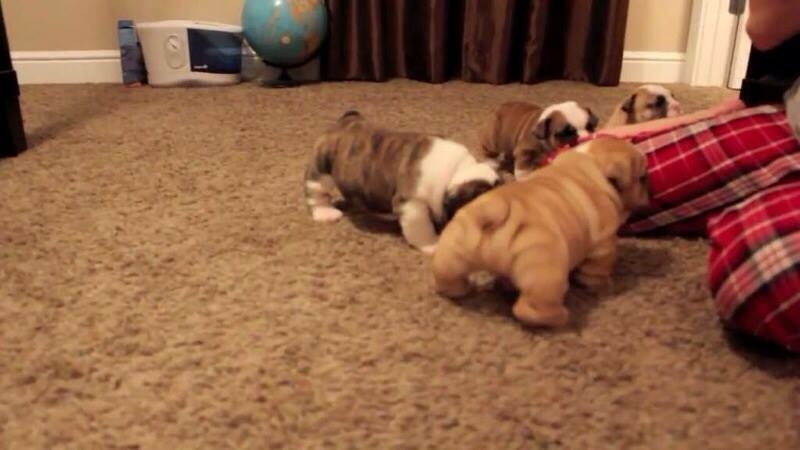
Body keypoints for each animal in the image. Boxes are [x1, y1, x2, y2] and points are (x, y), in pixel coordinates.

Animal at [304, 110, 500, 253]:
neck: (456, 172)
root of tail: (345, 121)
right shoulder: (411, 204)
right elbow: (421, 228)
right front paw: (433, 245)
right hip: (322, 168)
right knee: (317, 191)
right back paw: (325, 213)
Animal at [432, 136, 648, 326]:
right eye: (641, 178)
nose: (648, 185)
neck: (590, 164)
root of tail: (495, 210)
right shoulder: (603, 245)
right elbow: (597, 271)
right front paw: (603, 286)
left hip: (452, 253)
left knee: (448, 277)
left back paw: (462, 288)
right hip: (545, 273)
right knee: (531, 309)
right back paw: (560, 317)